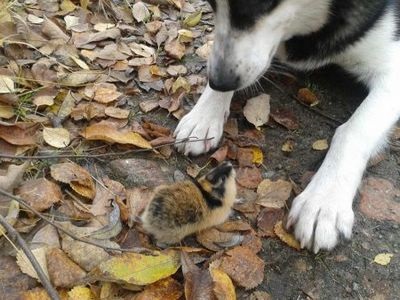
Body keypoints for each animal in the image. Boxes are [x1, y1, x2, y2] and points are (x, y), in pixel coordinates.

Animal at [174, 0, 400, 253]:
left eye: (260, 4)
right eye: (211, 3)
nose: (219, 82)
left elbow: (352, 130)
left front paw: (324, 199)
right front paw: (204, 115)